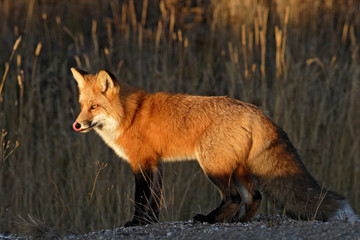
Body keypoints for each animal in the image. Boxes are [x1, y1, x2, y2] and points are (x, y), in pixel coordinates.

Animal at [71, 68, 358, 227]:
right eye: (82, 105)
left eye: (94, 107)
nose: (76, 124)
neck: (129, 114)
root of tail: (255, 110)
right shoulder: (156, 164)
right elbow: (155, 200)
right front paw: (149, 222)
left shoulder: (142, 162)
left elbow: (142, 199)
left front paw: (137, 224)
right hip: (236, 168)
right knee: (254, 197)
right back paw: (235, 222)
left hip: (212, 166)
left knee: (234, 197)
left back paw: (209, 220)